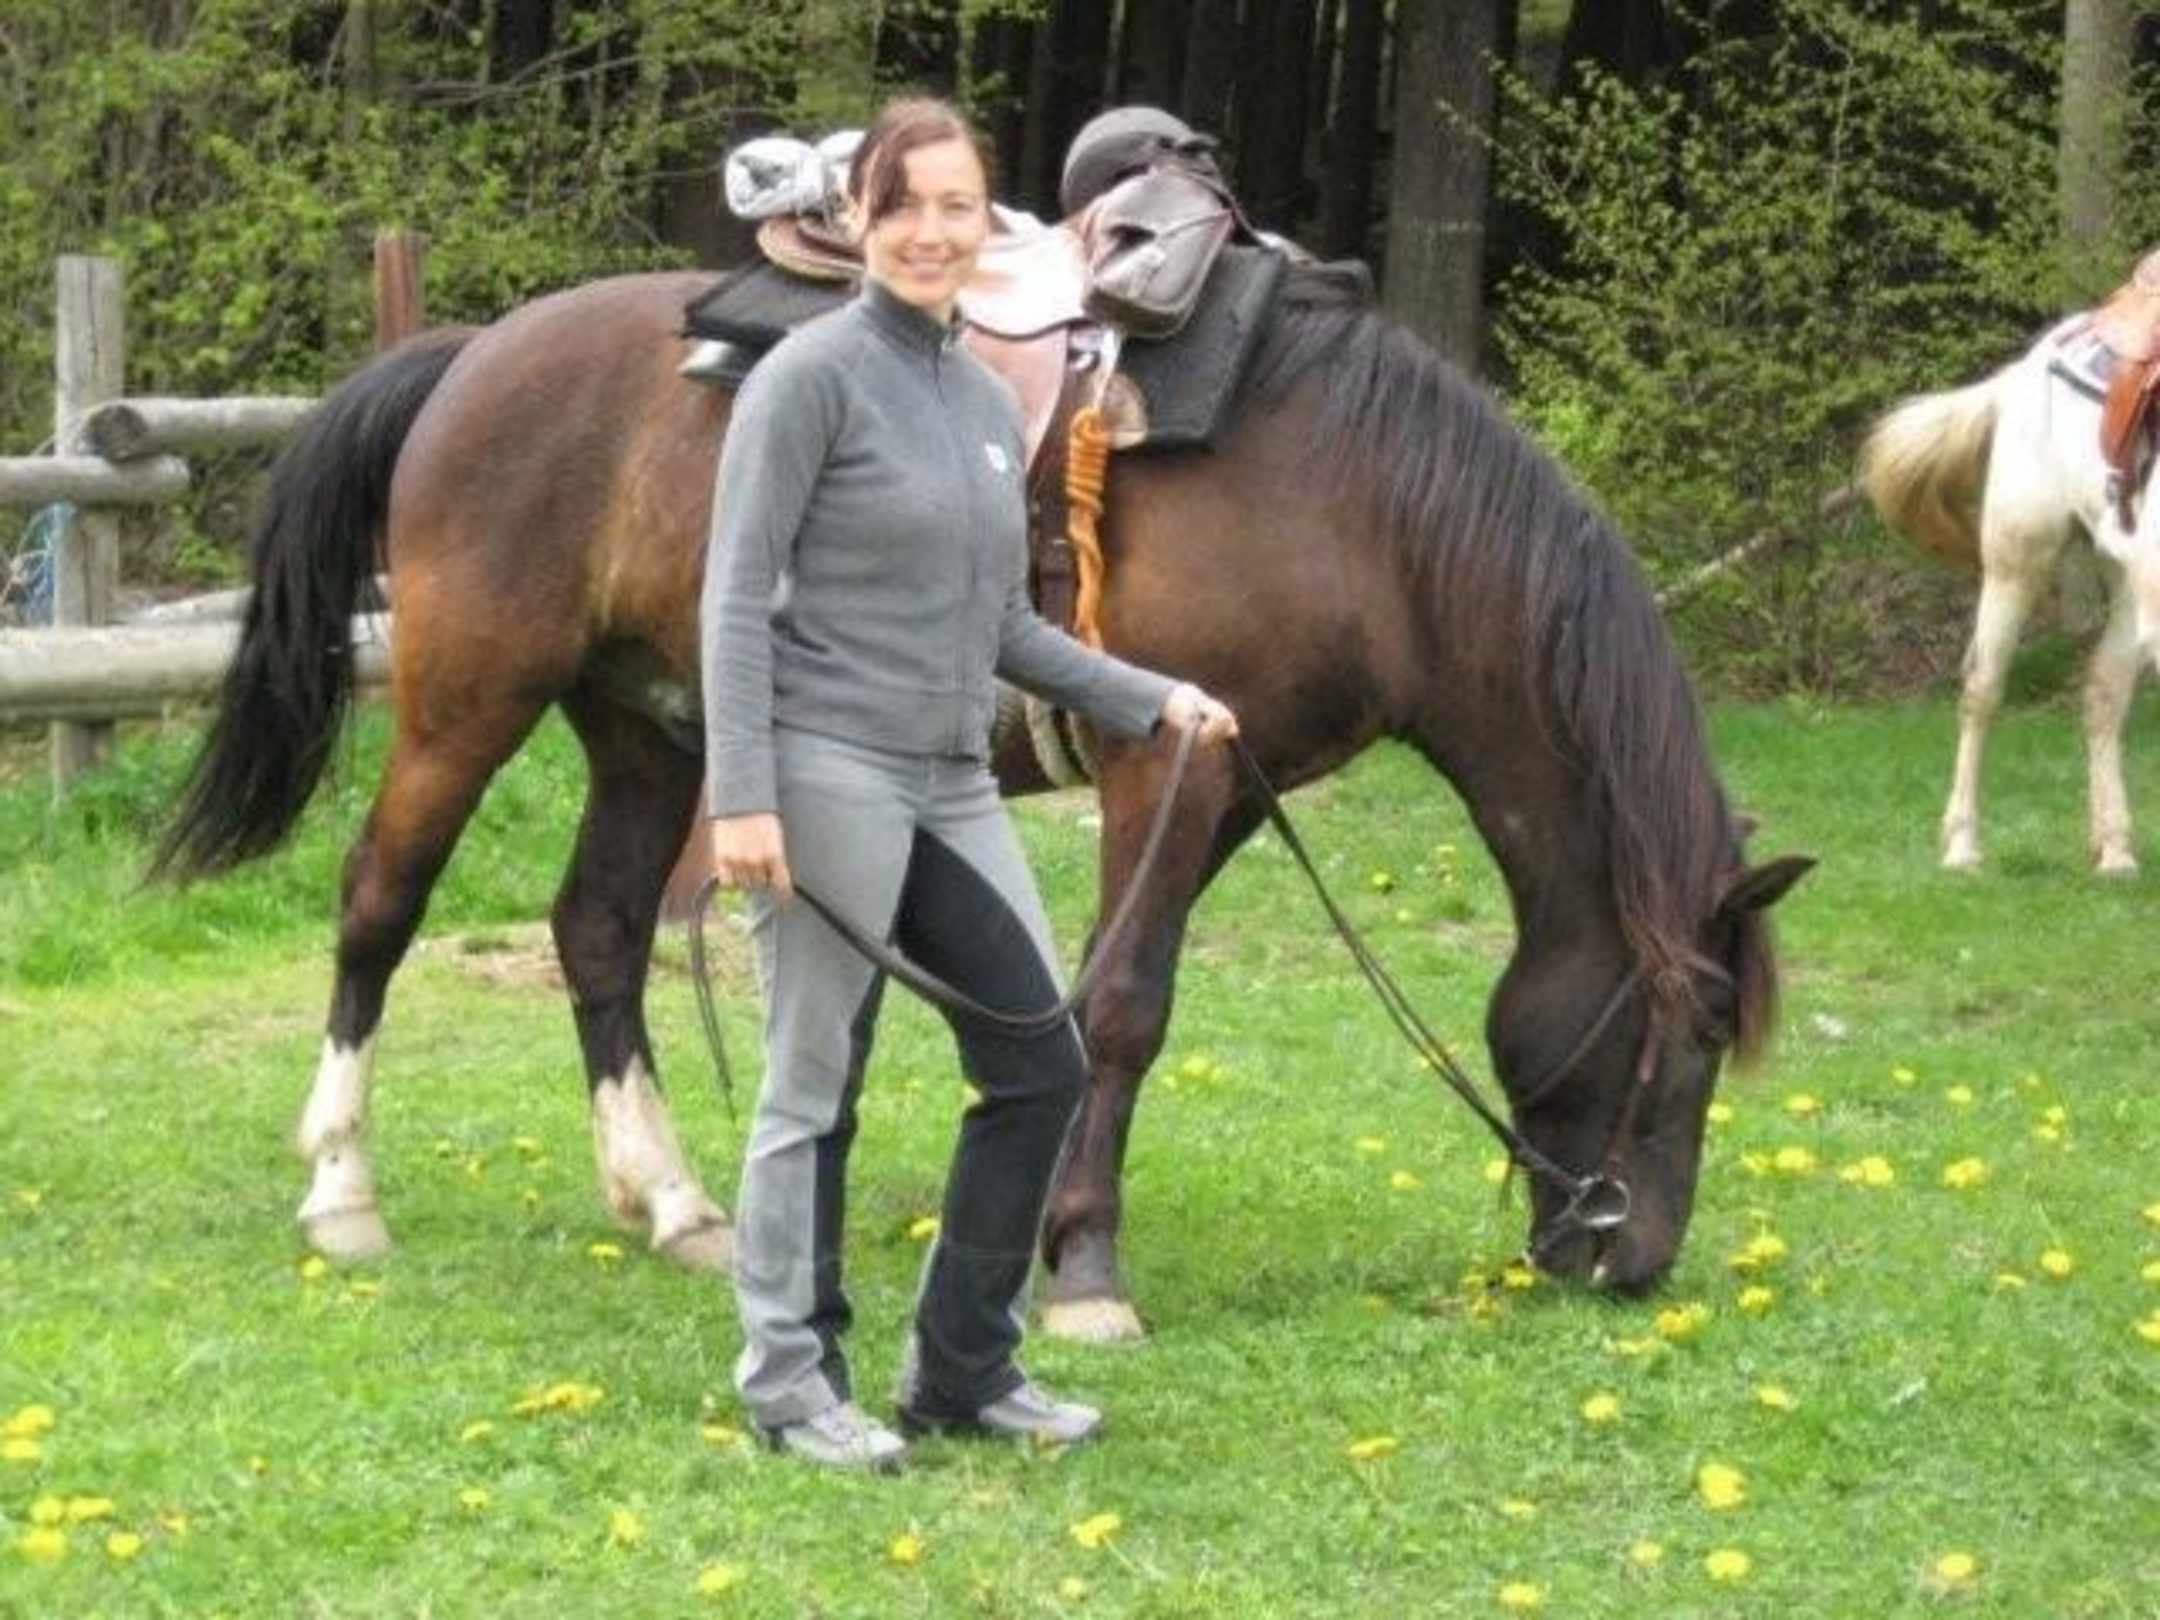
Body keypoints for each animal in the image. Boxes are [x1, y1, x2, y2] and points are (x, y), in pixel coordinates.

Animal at [154, 265, 1811, 1340]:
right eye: (1694, 1035)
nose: (1632, 1260)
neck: (1362, 511)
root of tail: (477, 350)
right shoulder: (1167, 766)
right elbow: (1129, 1010)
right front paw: (1085, 1274)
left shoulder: (1229, 778)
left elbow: (1092, 1002)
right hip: (468, 697)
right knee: (380, 902)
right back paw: (343, 1193)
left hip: (647, 726)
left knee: (603, 931)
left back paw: (675, 1204)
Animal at [1861, 316, 2160, 874]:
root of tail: (2027, 366)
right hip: (2014, 566)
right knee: (1982, 691)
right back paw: (1962, 846)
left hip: (2124, 585)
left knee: (2102, 696)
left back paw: (2112, 848)